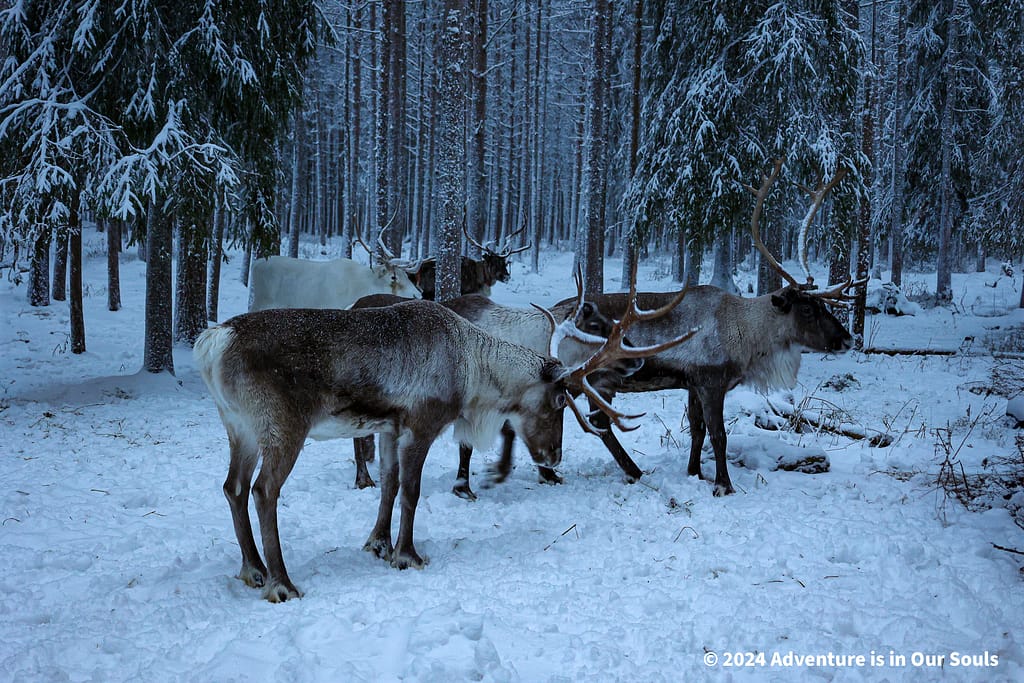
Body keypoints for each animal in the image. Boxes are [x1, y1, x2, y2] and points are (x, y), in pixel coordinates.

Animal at [193, 293, 692, 602]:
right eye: (556, 402)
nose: (553, 458)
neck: (472, 367)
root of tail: (213, 342)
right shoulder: (422, 423)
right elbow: (411, 493)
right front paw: (408, 555)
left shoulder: (390, 428)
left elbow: (389, 486)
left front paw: (378, 543)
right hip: (281, 427)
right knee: (263, 492)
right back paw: (281, 582)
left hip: (239, 428)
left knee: (232, 488)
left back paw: (253, 569)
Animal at [543, 159, 859, 497]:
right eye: (808, 309)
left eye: (823, 306)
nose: (847, 340)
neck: (746, 334)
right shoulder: (711, 382)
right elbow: (719, 434)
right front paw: (724, 484)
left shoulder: (693, 384)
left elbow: (698, 430)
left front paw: (695, 472)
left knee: (595, 424)